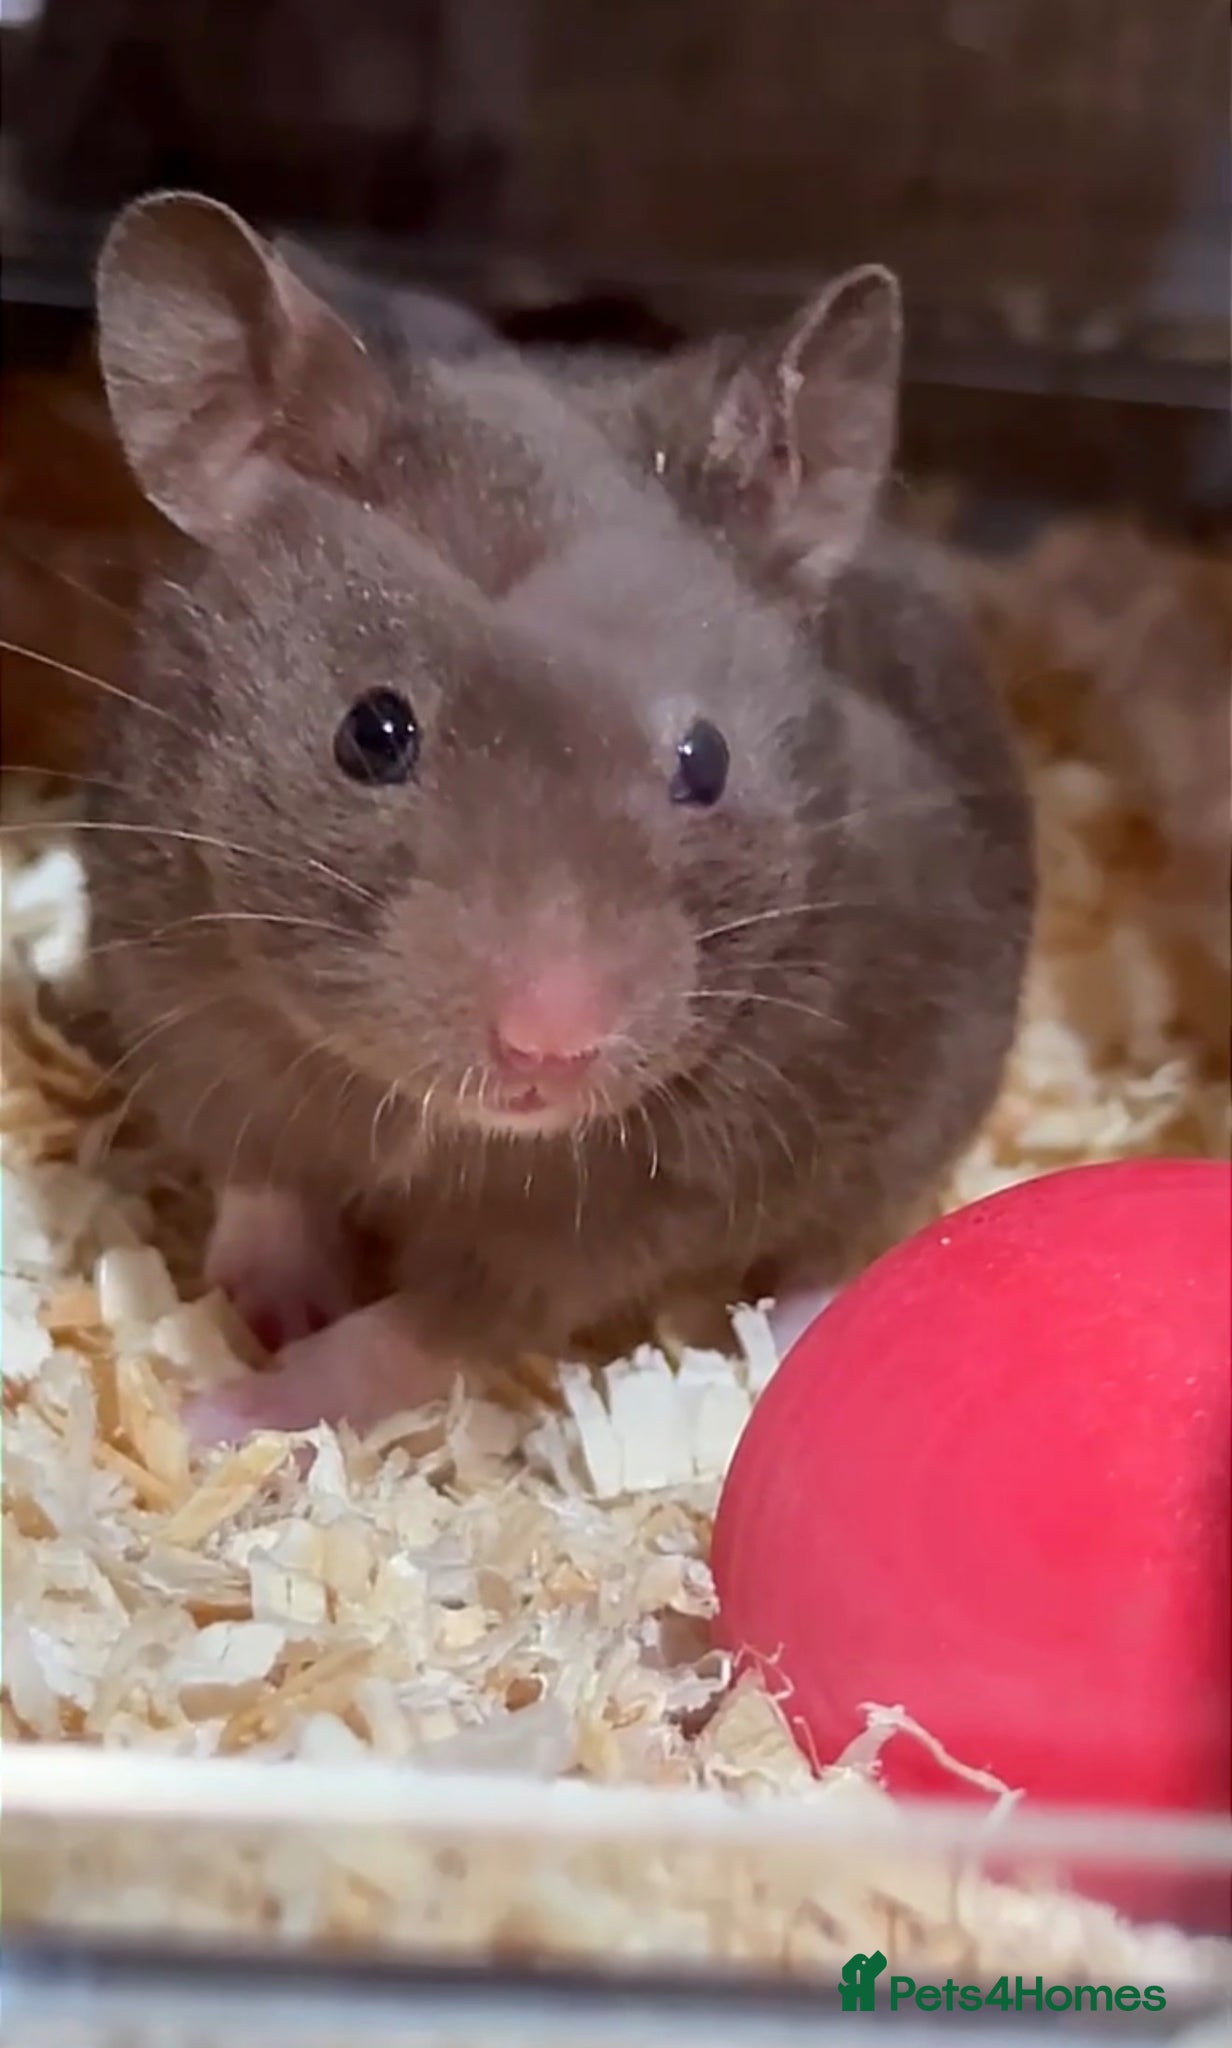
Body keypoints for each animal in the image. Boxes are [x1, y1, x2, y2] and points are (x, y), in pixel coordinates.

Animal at [83, 191, 1035, 1440]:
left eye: (704, 760)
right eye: (372, 731)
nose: (550, 1044)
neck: (438, 1115)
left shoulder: (606, 1214)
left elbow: (409, 1336)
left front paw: (220, 1415)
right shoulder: (179, 1002)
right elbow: (262, 1183)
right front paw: (265, 1304)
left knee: (833, 1245)